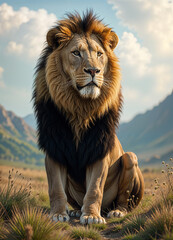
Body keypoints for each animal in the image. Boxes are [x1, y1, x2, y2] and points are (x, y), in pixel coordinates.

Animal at [33, 10, 144, 225]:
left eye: (99, 54)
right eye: (76, 53)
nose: (93, 71)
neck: (80, 108)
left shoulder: (98, 149)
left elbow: (94, 188)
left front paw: (92, 216)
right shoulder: (55, 147)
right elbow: (55, 188)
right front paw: (58, 214)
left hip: (130, 159)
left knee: (122, 199)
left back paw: (116, 212)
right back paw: (76, 211)